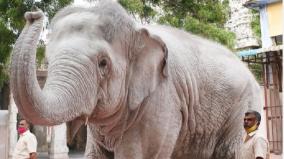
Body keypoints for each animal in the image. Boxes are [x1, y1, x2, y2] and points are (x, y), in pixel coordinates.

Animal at [10, 0, 260, 158]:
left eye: (103, 63)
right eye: (48, 60)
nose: (33, 14)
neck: (137, 29)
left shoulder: (163, 101)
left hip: (241, 109)